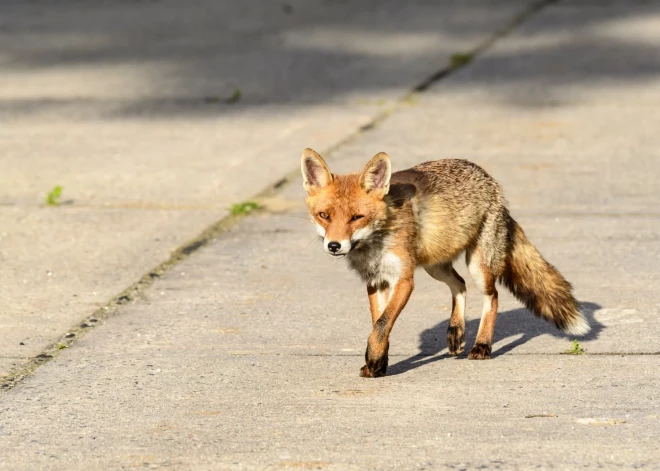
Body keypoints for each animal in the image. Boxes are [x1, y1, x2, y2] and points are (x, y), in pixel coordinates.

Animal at [302, 149, 592, 378]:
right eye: (324, 215)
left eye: (356, 217)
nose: (334, 245)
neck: (376, 241)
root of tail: (491, 181)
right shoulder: (376, 281)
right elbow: (378, 326)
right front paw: (378, 363)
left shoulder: (404, 279)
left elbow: (382, 324)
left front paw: (374, 361)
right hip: (435, 265)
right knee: (460, 285)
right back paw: (456, 330)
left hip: (478, 266)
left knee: (493, 296)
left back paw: (482, 345)